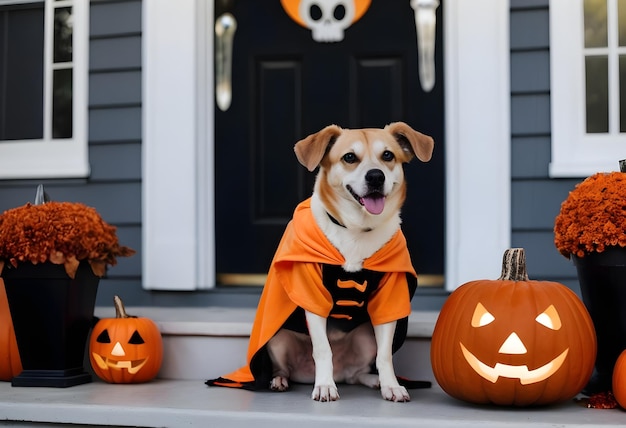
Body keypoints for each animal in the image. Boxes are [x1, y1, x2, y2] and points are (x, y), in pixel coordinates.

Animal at [207, 123, 432, 402]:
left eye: (388, 155)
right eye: (349, 157)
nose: (375, 177)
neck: (356, 230)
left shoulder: (389, 299)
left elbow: (385, 355)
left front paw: (391, 385)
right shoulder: (311, 295)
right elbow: (323, 349)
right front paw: (324, 385)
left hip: (365, 337)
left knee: (356, 374)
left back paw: (373, 380)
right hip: (278, 338)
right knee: (285, 368)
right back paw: (280, 380)